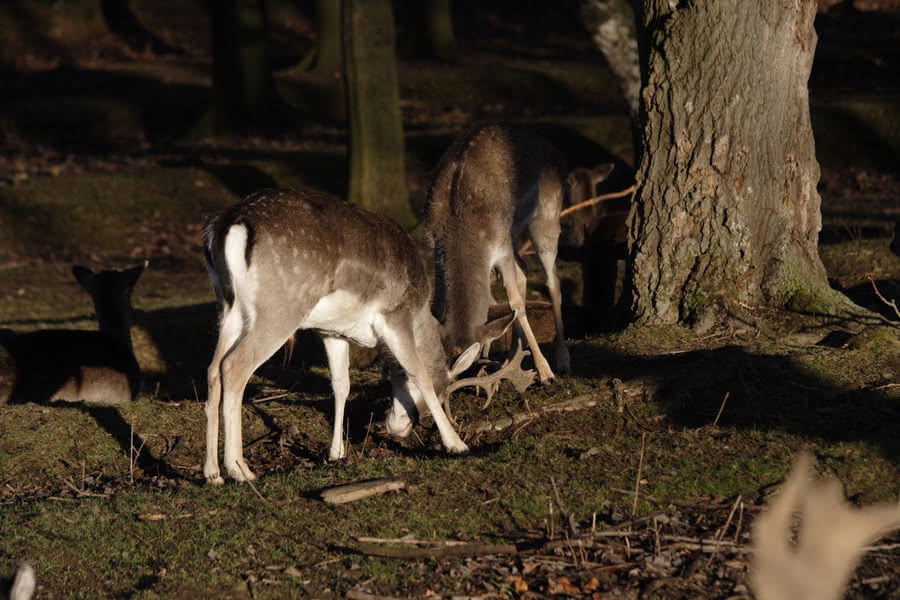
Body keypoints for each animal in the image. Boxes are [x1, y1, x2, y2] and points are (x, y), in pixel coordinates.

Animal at [200, 188, 524, 482]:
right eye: (444, 388)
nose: (399, 429)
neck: (421, 314)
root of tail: (227, 225)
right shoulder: (395, 315)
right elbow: (418, 371)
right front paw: (457, 445)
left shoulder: (333, 331)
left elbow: (341, 385)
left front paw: (336, 453)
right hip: (279, 308)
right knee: (234, 365)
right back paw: (240, 470)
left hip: (229, 308)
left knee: (213, 368)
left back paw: (212, 473)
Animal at [424, 123, 568, 382]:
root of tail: (558, 154)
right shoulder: (436, 253)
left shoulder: (500, 246)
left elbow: (516, 304)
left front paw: (545, 372)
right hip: (515, 232)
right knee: (524, 269)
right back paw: (513, 354)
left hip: (548, 214)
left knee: (553, 280)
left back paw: (561, 361)